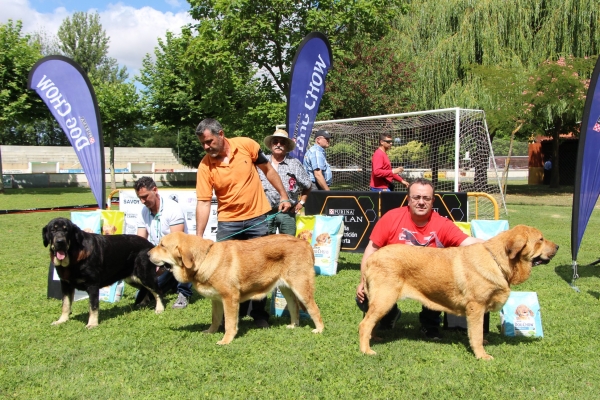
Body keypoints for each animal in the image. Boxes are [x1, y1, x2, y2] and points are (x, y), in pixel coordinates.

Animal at [148, 233, 326, 346]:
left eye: (162, 245)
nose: (147, 254)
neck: (204, 258)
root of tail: (305, 243)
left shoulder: (229, 298)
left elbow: (229, 323)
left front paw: (226, 340)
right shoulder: (217, 300)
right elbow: (215, 319)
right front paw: (210, 332)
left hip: (301, 288)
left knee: (314, 309)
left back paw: (319, 330)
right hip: (287, 289)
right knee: (294, 307)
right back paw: (293, 326)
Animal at [356, 225, 556, 360]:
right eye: (540, 239)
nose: (558, 247)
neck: (498, 261)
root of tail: (372, 258)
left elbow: (478, 333)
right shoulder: (476, 307)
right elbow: (476, 334)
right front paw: (482, 355)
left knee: (370, 322)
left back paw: (374, 338)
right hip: (385, 299)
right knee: (365, 324)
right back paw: (366, 350)